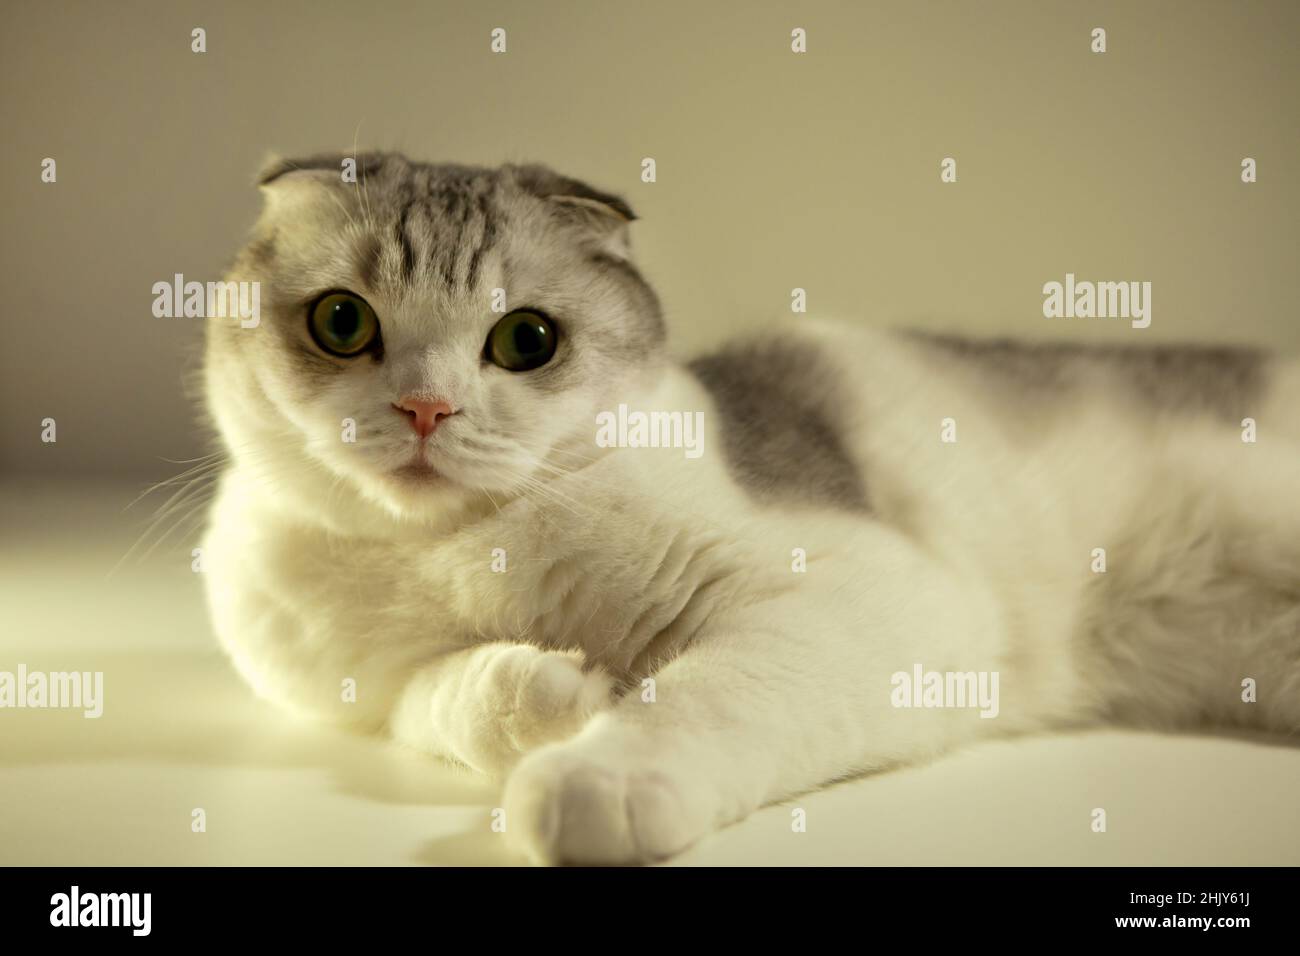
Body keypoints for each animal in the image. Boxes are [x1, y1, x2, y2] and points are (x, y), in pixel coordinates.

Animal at [200, 151, 1300, 868]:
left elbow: (696, 693)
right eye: (343, 322)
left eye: (526, 341)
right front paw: (560, 693)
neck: (451, 548)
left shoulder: (867, 598)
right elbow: (446, 696)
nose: (425, 408)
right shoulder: (366, 692)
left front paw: (593, 772)